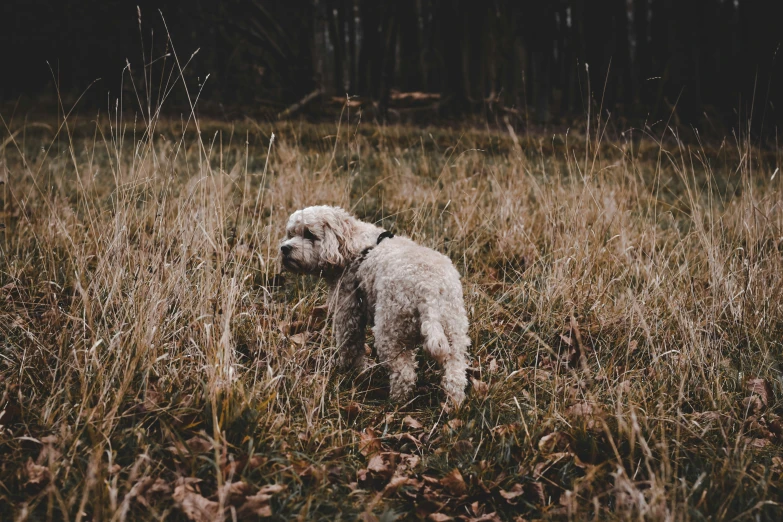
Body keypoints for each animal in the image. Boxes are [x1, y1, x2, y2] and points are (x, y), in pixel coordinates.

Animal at [280, 205, 468, 404]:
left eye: (309, 234)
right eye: (291, 233)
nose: (284, 248)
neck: (351, 246)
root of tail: (428, 289)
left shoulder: (348, 313)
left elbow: (349, 346)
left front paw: (348, 371)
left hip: (390, 331)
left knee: (404, 374)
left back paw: (396, 402)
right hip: (454, 331)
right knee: (455, 375)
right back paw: (453, 404)